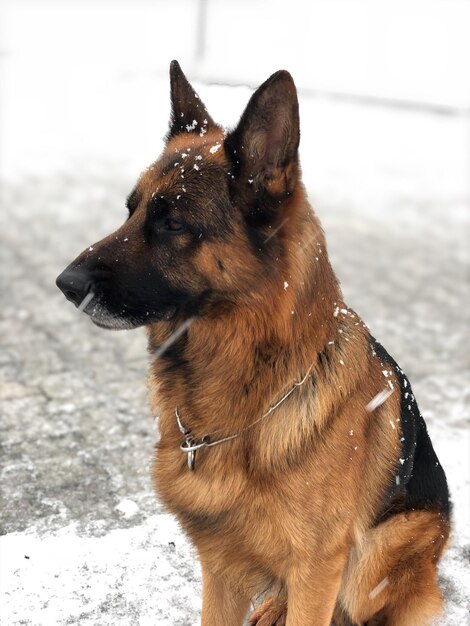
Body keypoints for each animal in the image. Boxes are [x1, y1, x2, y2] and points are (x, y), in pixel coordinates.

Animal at [57, 59, 450, 624]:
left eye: (172, 224)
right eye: (130, 211)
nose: (64, 284)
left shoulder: (317, 568)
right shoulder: (219, 566)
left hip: (382, 550)